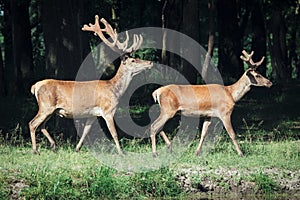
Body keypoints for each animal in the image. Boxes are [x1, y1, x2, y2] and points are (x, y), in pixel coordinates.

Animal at [28, 15, 152, 155]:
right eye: (133, 60)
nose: (150, 63)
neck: (114, 90)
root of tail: (35, 86)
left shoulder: (93, 114)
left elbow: (85, 131)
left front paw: (77, 148)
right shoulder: (107, 110)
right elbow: (114, 133)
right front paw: (121, 152)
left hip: (51, 110)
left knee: (42, 125)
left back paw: (53, 145)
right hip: (46, 106)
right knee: (32, 123)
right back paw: (35, 150)